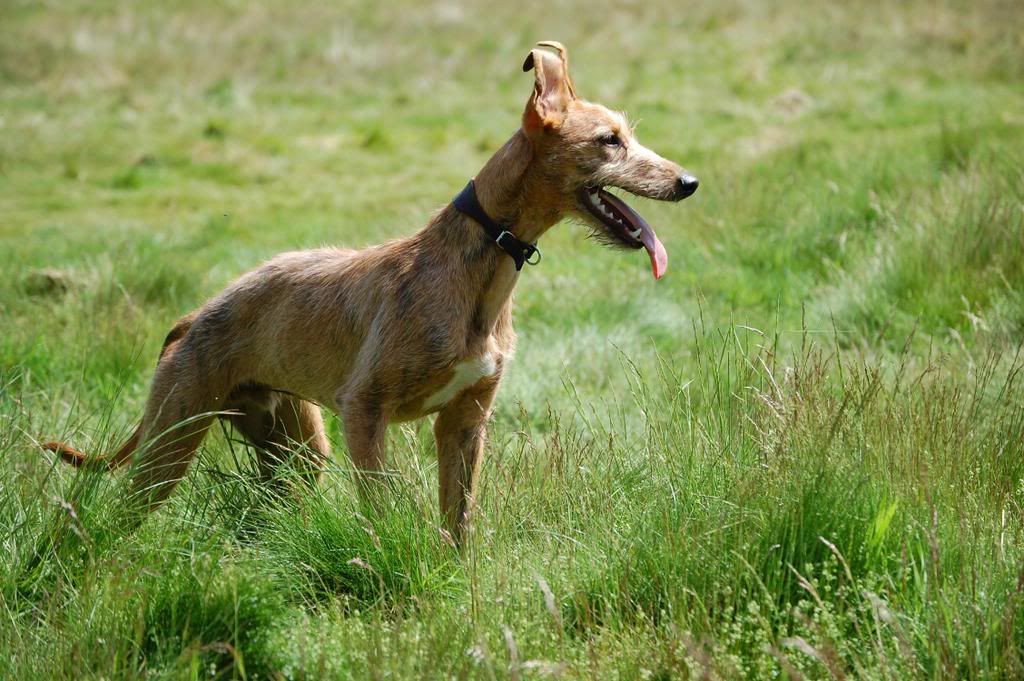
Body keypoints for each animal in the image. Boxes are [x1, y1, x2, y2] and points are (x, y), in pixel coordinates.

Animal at [39, 41, 696, 540]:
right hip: (171, 440)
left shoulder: (465, 422)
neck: (475, 269)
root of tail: (194, 315)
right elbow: (382, 512)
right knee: (110, 518)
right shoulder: (366, 412)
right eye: (610, 140)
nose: (689, 182)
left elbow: (459, 525)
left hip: (295, 450)